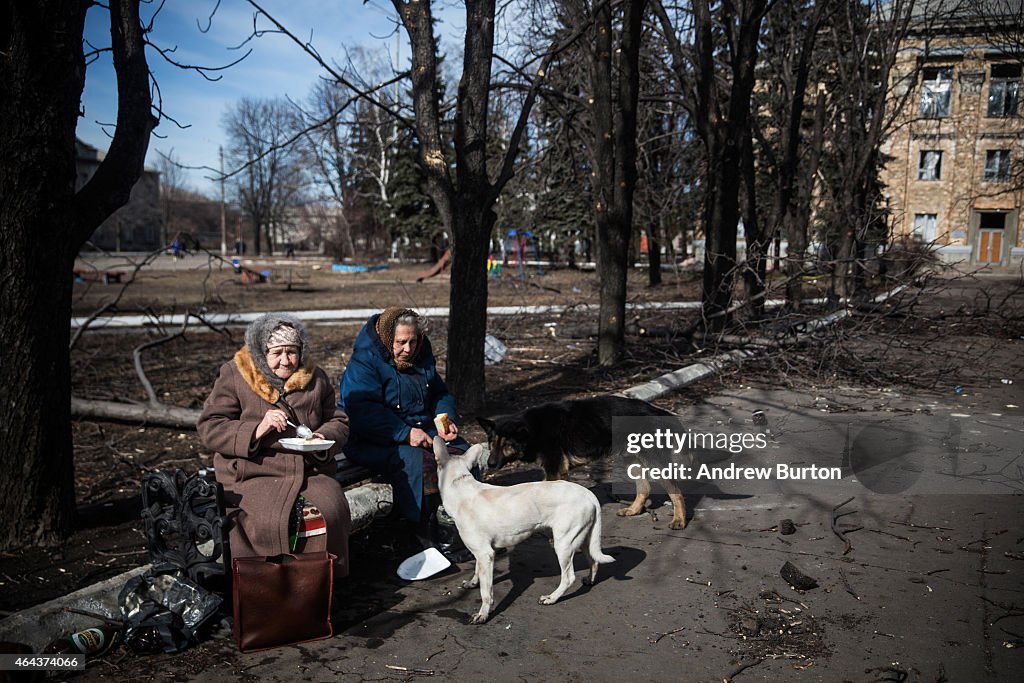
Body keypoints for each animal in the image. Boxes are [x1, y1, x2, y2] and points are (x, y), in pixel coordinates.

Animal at [434, 438, 614, 626]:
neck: (460, 485)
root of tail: (588, 494)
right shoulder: (481, 554)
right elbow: (477, 571)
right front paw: (472, 583)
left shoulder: (485, 554)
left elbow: (486, 592)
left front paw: (483, 614)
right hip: (584, 539)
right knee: (593, 561)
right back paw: (589, 580)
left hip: (564, 544)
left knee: (568, 577)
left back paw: (551, 598)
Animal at [477, 393, 688, 532]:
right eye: (491, 443)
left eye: (506, 444)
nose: (490, 464)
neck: (534, 429)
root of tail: (655, 410)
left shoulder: (555, 471)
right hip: (632, 459)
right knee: (644, 488)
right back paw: (634, 510)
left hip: (653, 463)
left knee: (676, 491)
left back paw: (680, 520)